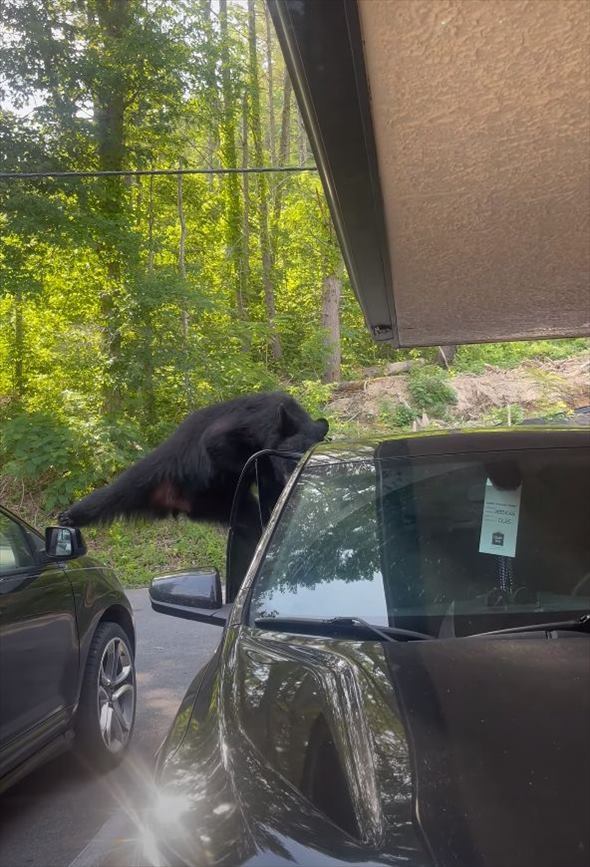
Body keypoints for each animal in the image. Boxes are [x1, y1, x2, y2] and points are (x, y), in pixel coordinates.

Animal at [58, 394, 330, 528]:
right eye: (288, 460)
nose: (293, 481)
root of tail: (179, 503)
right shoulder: (246, 424)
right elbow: (217, 443)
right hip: (153, 472)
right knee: (115, 493)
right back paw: (70, 516)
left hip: (222, 504)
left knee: (248, 516)